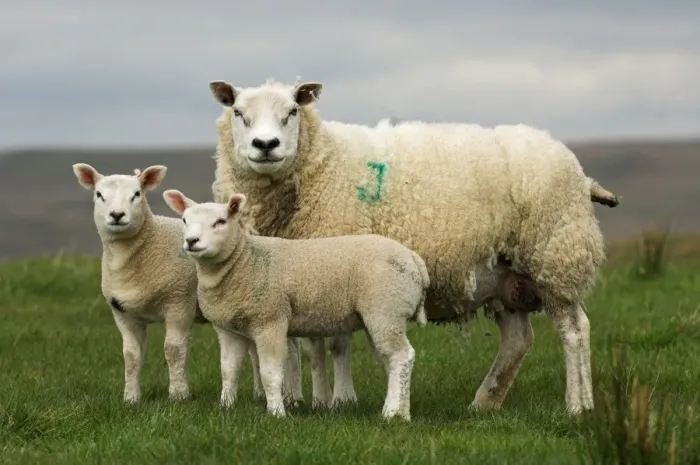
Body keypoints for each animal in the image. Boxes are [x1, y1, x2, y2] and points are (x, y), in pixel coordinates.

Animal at [71, 163, 315, 407]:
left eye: (137, 194)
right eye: (99, 195)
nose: (117, 215)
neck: (144, 249)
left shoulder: (179, 302)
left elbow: (173, 350)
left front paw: (178, 395)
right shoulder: (123, 314)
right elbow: (131, 357)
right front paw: (131, 399)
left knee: (290, 351)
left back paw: (292, 398)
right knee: (257, 351)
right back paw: (261, 395)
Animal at [162, 188, 430, 420]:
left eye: (220, 222)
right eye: (184, 220)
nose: (192, 241)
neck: (242, 261)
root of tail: (413, 258)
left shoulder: (270, 320)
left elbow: (270, 373)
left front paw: (276, 413)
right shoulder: (228, 329)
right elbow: (229, 370)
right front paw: (226, 407)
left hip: (386, 309)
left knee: (401, 356)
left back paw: (390, 414)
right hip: (382, 315)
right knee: (395, 360)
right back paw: (402, 413)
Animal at [205, 77, 623, 415]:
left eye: (292, 111)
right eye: (238, 112)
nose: (266, 145)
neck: (321, 164)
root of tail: (580, 173)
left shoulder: (337, 267)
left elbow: (334, 344)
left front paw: (337, 400)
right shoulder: (286, 276)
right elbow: (297, 346)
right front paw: (296, 398)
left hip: (555, 258)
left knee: (574, 331)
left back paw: (576, 405)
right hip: (504, 275)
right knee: (519, 340)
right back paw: (486, 402)